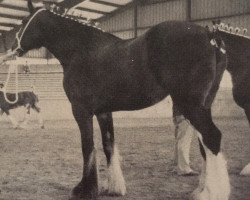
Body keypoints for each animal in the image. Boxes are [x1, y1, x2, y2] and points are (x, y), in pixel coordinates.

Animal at [7, 0, 230, 199]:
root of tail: (208, 35)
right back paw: (201, 190)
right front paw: (114, 188)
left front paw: (85, 190)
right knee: (205, 145)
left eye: (24, 21)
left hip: (190, 105)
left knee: (212, 137)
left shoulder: (81, 110)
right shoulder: (103, 112)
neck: (82, 50)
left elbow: (87, 147)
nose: (11, 49)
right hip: (203, 105)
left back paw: (212, 193)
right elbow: (108, 145)